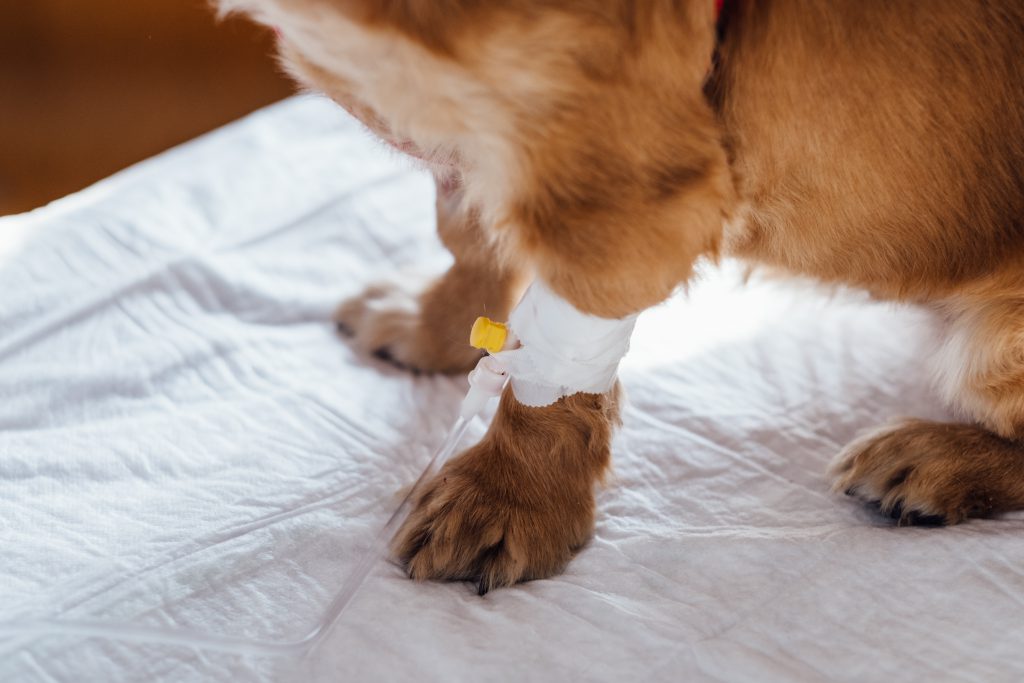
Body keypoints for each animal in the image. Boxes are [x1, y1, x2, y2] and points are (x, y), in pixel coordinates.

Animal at [216, 0, 1024, 593]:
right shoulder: (477, 135)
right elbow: (472, 233)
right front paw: (434, 326)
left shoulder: (608, 170)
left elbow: (554, 369)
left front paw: (505, 496)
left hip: (994, 346)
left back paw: (939, 458)